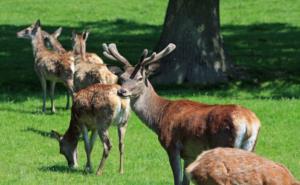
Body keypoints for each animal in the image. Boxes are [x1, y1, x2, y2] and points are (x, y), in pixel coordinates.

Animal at [102, 43, 260, 185]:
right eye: (122, 77)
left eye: (140, 78)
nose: (121, 91)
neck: (159, 117)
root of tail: (249, 123)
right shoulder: (190, 153)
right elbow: (185, 181)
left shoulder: (172, 145)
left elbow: (177, 180)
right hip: (250, 146)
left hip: (226, 143)